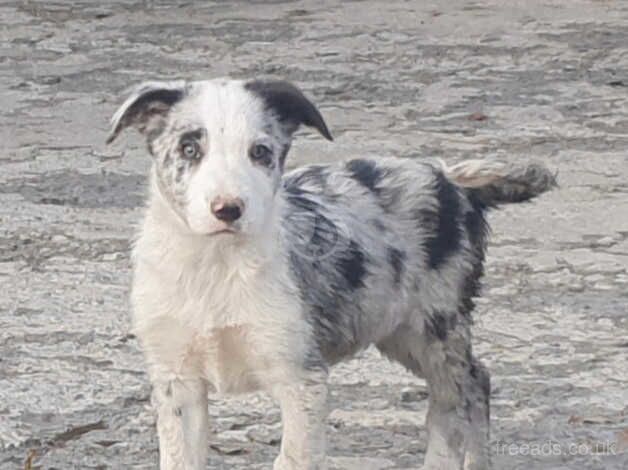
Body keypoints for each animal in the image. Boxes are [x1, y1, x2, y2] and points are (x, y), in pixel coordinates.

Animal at [106, 79, 556, 468]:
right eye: (188, 148)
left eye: (260, 152)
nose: (228, 209)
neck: (216, 267)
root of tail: (451, 178)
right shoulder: (176, 379)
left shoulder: (301, 377)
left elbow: (292, 459)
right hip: (398, 329)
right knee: (476, 381)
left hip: (434, 325)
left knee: (456, 400)